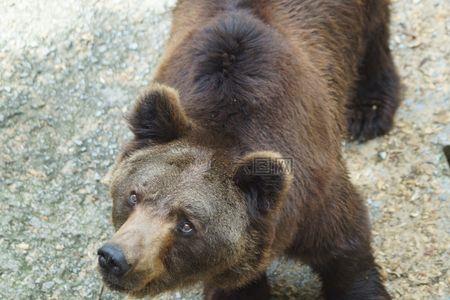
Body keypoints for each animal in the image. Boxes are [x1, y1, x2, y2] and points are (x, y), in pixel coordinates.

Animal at [96, 1, 400, 298]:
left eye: (187, 224)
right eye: (133, 196)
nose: (114, 258)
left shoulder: (315, 196)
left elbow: (346, 252)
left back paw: (370, 110)